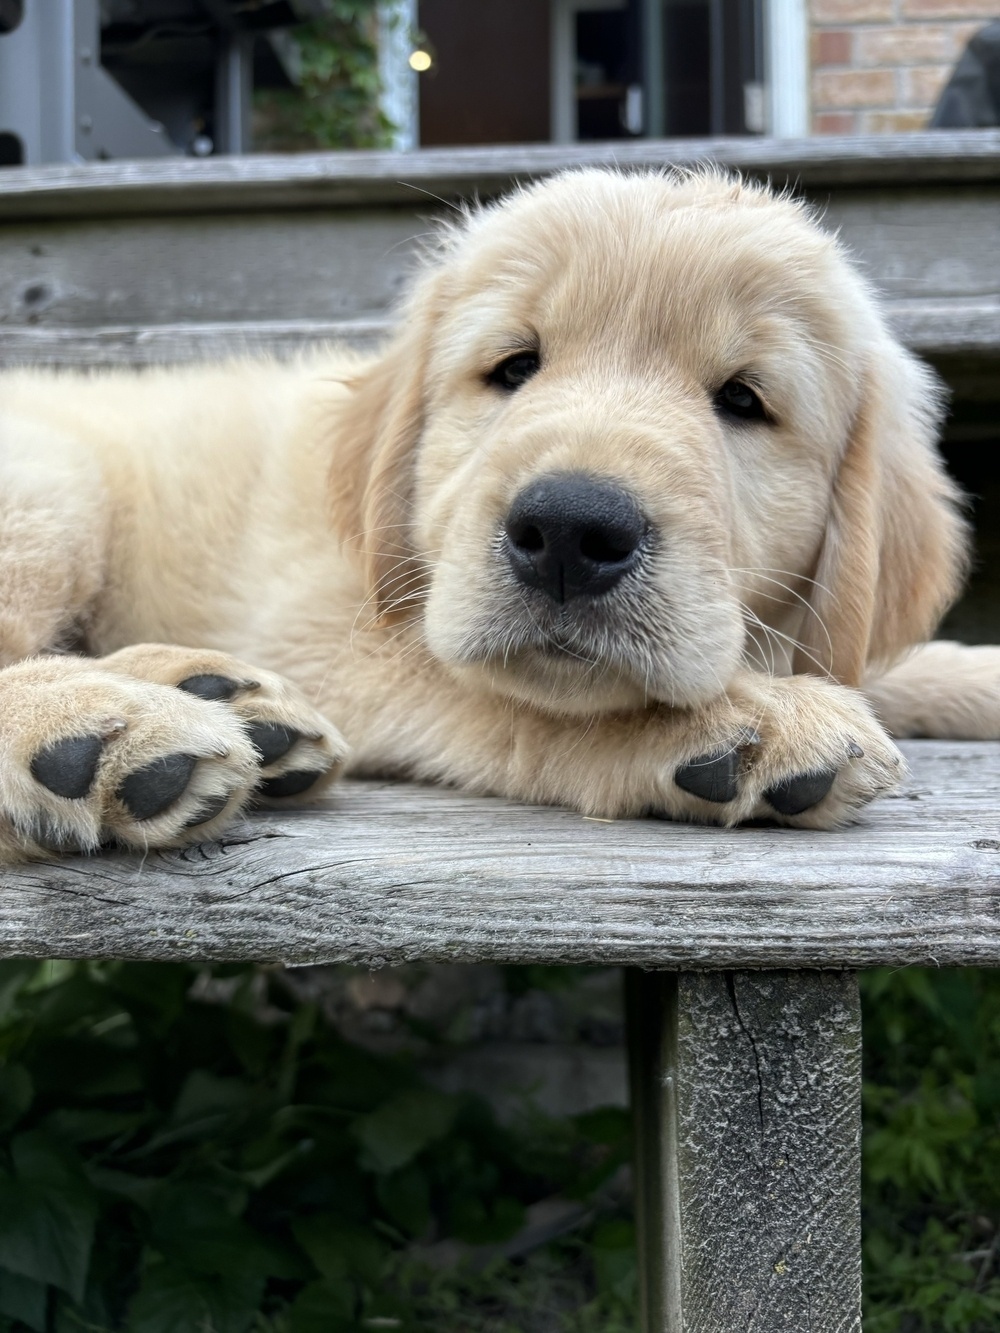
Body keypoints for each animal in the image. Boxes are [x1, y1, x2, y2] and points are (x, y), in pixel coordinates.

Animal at [0, 166, 997, 858]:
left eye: (744, 401)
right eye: (515, 366)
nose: (569, 533)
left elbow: (883, 664)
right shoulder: (328, 625)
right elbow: (499, 691)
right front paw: (735, 717)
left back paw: (222, 696)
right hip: (55, 484)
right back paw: (96, 728)